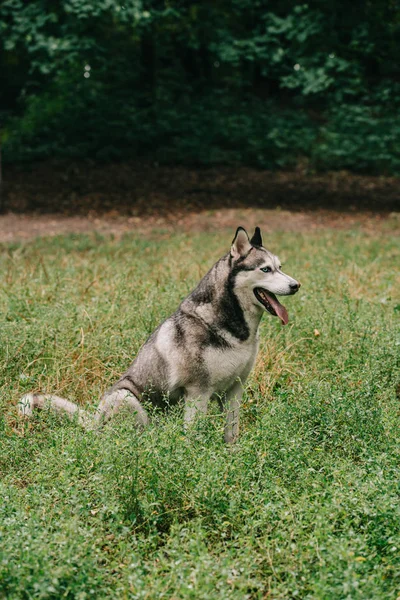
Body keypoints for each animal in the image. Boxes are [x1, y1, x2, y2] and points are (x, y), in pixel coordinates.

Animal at [19, 227, 300, 442]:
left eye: (280, 267)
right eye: (265, 269)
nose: (296, 285)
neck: (235, 329)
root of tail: (93, 422)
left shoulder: (234, 390)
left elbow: (232, 432)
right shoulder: (197, 393)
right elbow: (194, 435)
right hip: (126, 397)